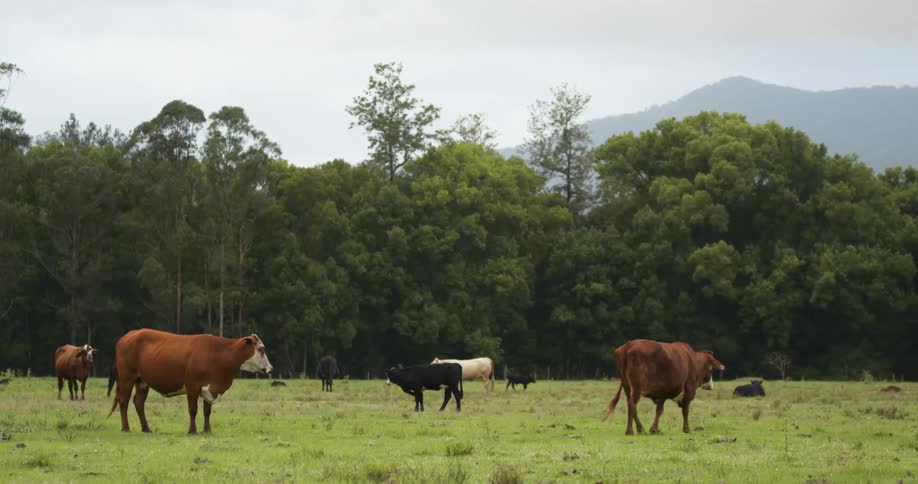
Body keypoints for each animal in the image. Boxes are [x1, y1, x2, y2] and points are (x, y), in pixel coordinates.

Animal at [107, 329, 272, 434]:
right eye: (261, 349)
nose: (270, 368)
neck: (219, 354)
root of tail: (128, 335)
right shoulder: (192, 386)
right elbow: (193, 410)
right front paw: (192, 430)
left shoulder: (209, 388)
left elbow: (207, 411)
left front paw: (207, 430)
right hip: (127, 378)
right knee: (123, 401)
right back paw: (126, 428)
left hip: (142, 381)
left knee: (138, 402)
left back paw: (146, 428)